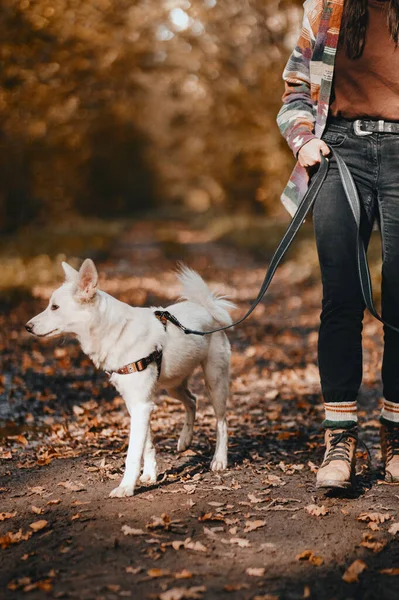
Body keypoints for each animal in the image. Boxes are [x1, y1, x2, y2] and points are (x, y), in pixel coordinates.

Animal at [26, 258, 234, 496]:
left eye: (54, 307)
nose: (27, 327)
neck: (116, 330)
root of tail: (206, 308)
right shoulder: (136, 404)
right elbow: (147, 445)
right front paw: (150, 475)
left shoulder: (141, 405)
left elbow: (134, 453)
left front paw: (126, 487)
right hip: (173, 384)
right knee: (192, 401)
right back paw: (185, 439)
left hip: (214, 382)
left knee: (221, 422)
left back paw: (219, 460)